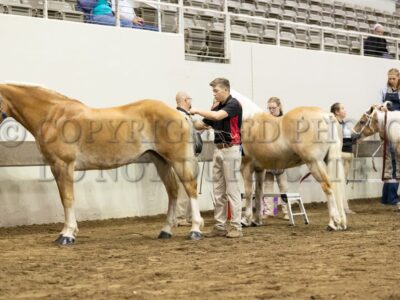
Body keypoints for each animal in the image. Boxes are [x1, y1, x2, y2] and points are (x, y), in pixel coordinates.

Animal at [0, 83, 203, 245]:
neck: (53, 115)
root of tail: (181, 115)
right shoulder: (55, 167)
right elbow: (64, 199)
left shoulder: (64, 165)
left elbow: (67, 199)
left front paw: (67, 235)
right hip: (160, 160)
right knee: (173, 191)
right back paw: (165, 231)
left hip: (178, 160)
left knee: (190, 188)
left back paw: (195, 231)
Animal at [231, 90, 346, 231]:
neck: (247, 120)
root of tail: (325, 116)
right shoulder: (260, 169)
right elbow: (258, 193)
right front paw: (256, 221)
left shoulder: (246, 166)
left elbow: (248, 193)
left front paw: (245, 220)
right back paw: (338, 223)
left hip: (314, 163)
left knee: (327, 188)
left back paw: (333, 223)